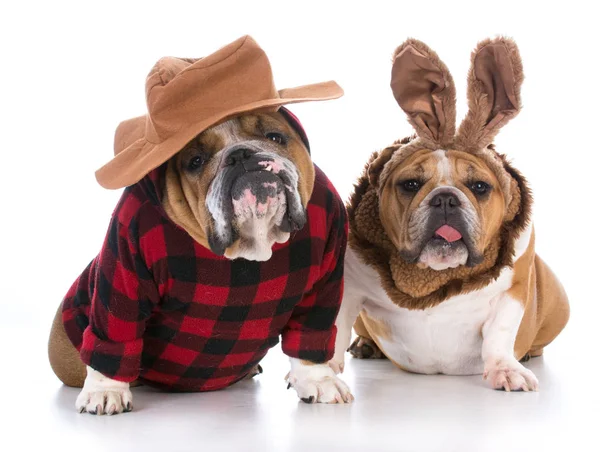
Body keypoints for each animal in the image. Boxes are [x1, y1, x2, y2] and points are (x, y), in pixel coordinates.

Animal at [50, 35, 356, 414]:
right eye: (195, 161)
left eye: (275, 137)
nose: (242, 154)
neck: (251, 243)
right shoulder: (125, 260)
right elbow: (117, 326)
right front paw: (106, 390)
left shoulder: (327, 272)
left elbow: (312, 336)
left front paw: (319, 380)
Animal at [330, 37, 568, 392]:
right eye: (410, 184)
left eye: (480, 186)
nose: (445, 198)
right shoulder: (350, 285)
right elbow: (334, 328)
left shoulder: (514, 286)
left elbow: (499, 333)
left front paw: (505, 368)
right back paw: (366, 345)